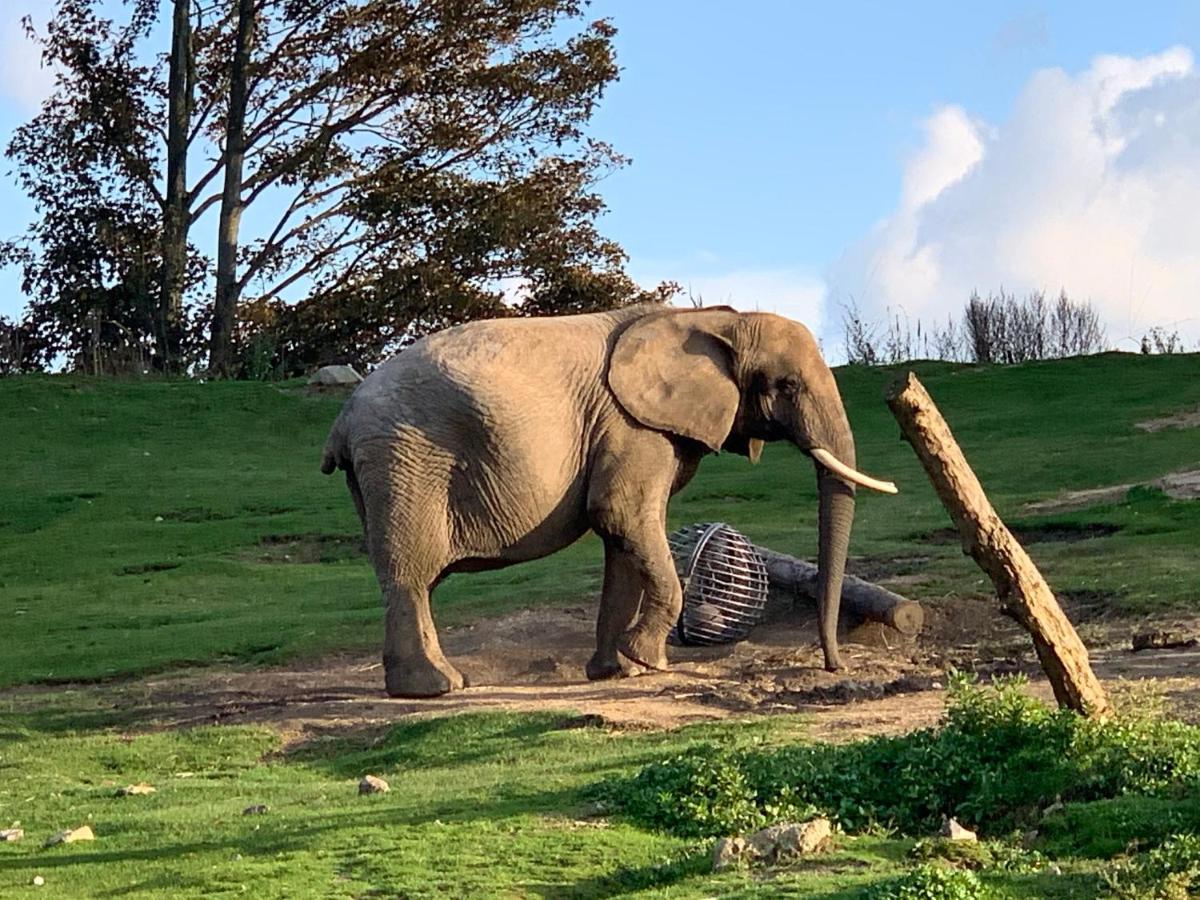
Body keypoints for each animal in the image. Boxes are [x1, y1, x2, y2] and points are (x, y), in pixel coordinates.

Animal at [324, 303, 897, 696]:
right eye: (787, 385)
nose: (834, 666)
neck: (715, 318)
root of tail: (343, 419)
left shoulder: (638, 429)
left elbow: (625, 536)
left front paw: (617, 671)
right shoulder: (632, 426)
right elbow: (622, 516)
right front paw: (646, 662)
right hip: (404, 458)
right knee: (412, 573)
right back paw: (437, 687)